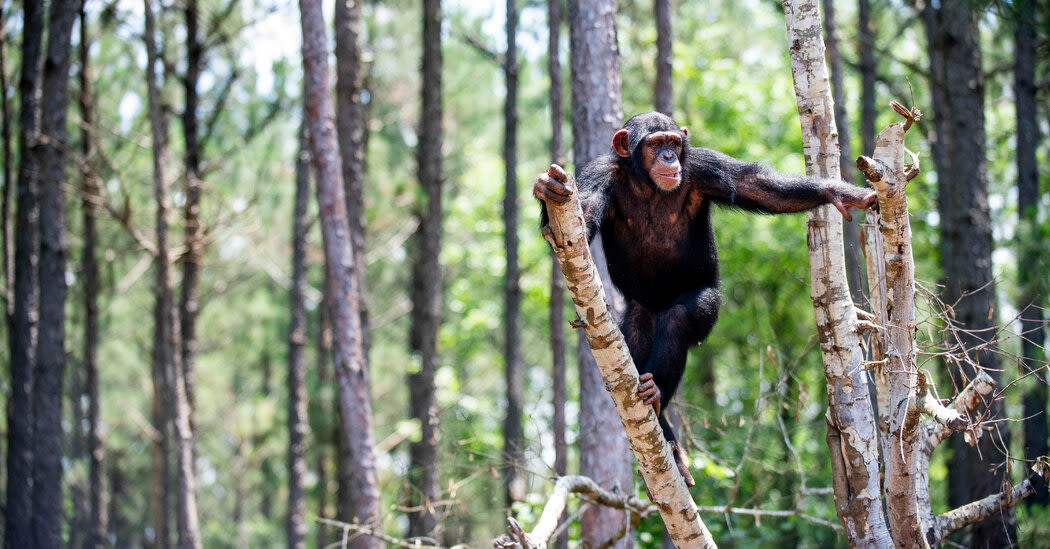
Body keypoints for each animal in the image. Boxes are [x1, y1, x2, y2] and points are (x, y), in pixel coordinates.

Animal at [533, 111, 877, 484]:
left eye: (673, 142)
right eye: (656, 144)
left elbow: (757, 185)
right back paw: (666, 434)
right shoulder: (600, 174)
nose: (668, 156)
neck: (647, 185)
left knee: (677, 319)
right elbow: (582, 215)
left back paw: (656, 396)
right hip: (639, 313)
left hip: (711, 303)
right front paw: (547, 190)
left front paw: (841, 191)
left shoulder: (704, 166)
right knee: (635, 342)